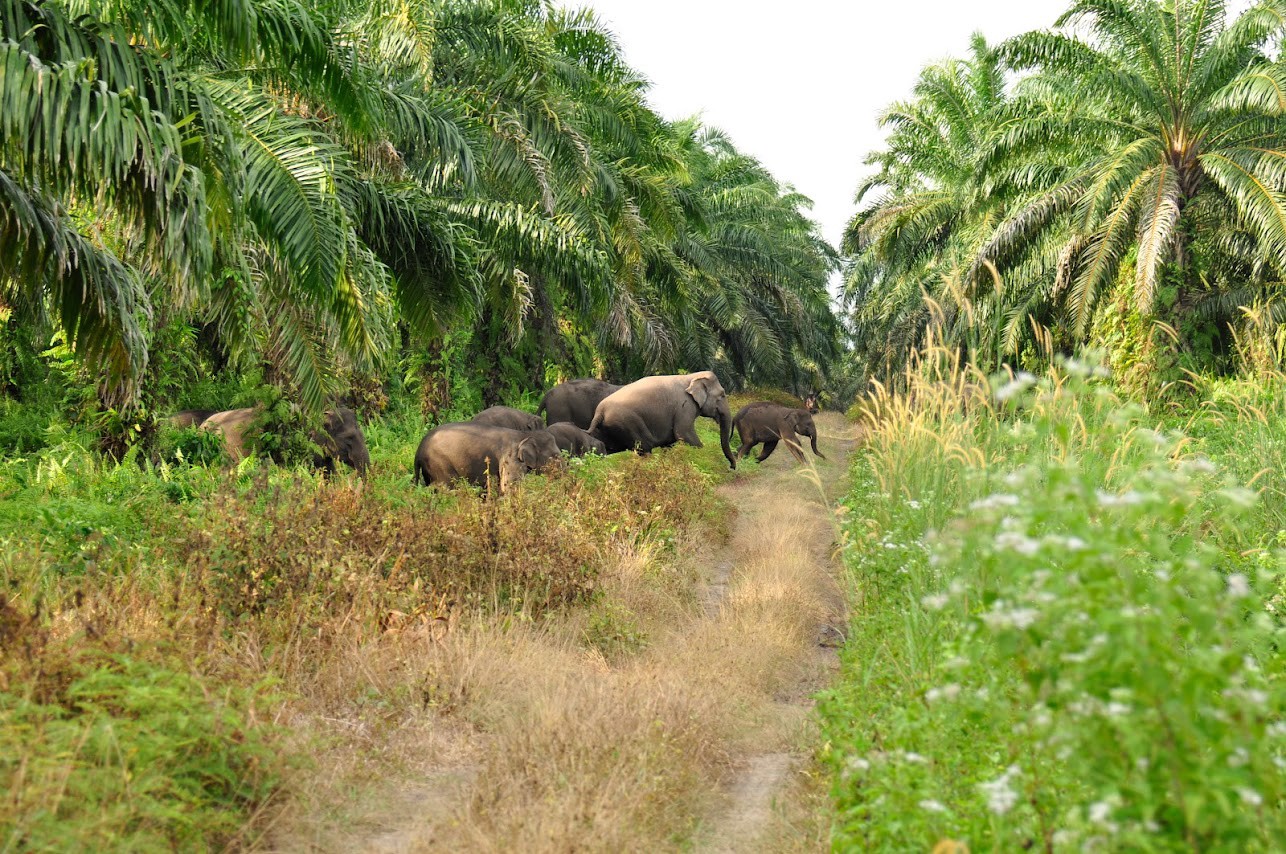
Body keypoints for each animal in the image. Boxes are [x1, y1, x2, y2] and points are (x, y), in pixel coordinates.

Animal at [414, 421, 560, 493]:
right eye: (555, 456)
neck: (524, 434)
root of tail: (419, 449)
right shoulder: (510, 459)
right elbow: (509, 486)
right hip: (439, 464)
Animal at [588, 370, 740, 470]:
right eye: (722, 395)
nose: (732, 467)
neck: (691, 377)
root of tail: (600, 411)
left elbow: (670, 442)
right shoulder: (685, 406)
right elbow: (683, 433)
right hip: (628, 422)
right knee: (645, 448)